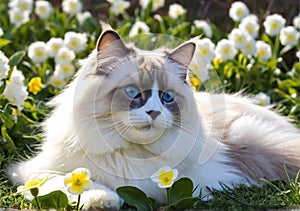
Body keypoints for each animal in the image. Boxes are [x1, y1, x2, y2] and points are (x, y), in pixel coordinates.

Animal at [7, 25, 300, 209]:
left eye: (167, 97)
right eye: (132, 92)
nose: (154, 112)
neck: (129, 152)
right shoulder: (34, 173)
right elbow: (78, 183)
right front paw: (101, 201)